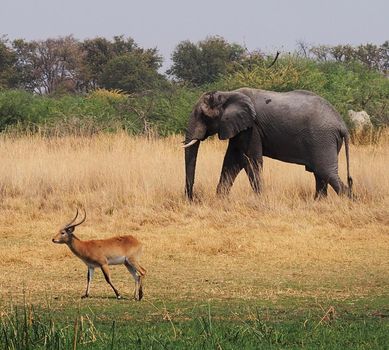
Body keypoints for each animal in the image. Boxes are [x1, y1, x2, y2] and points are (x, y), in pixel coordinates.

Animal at [182, 88, 352, 200]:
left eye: (203, 116)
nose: (192, 198)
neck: (227, 94)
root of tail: (342, 124)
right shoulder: (239, 128)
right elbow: (232, 161)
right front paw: (220, 200)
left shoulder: (251, 128)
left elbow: (250, 160)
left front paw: (259, 200)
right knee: (320, 173)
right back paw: (318, 203)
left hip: (322, 138)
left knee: (325, 171)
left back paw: (347, 201)